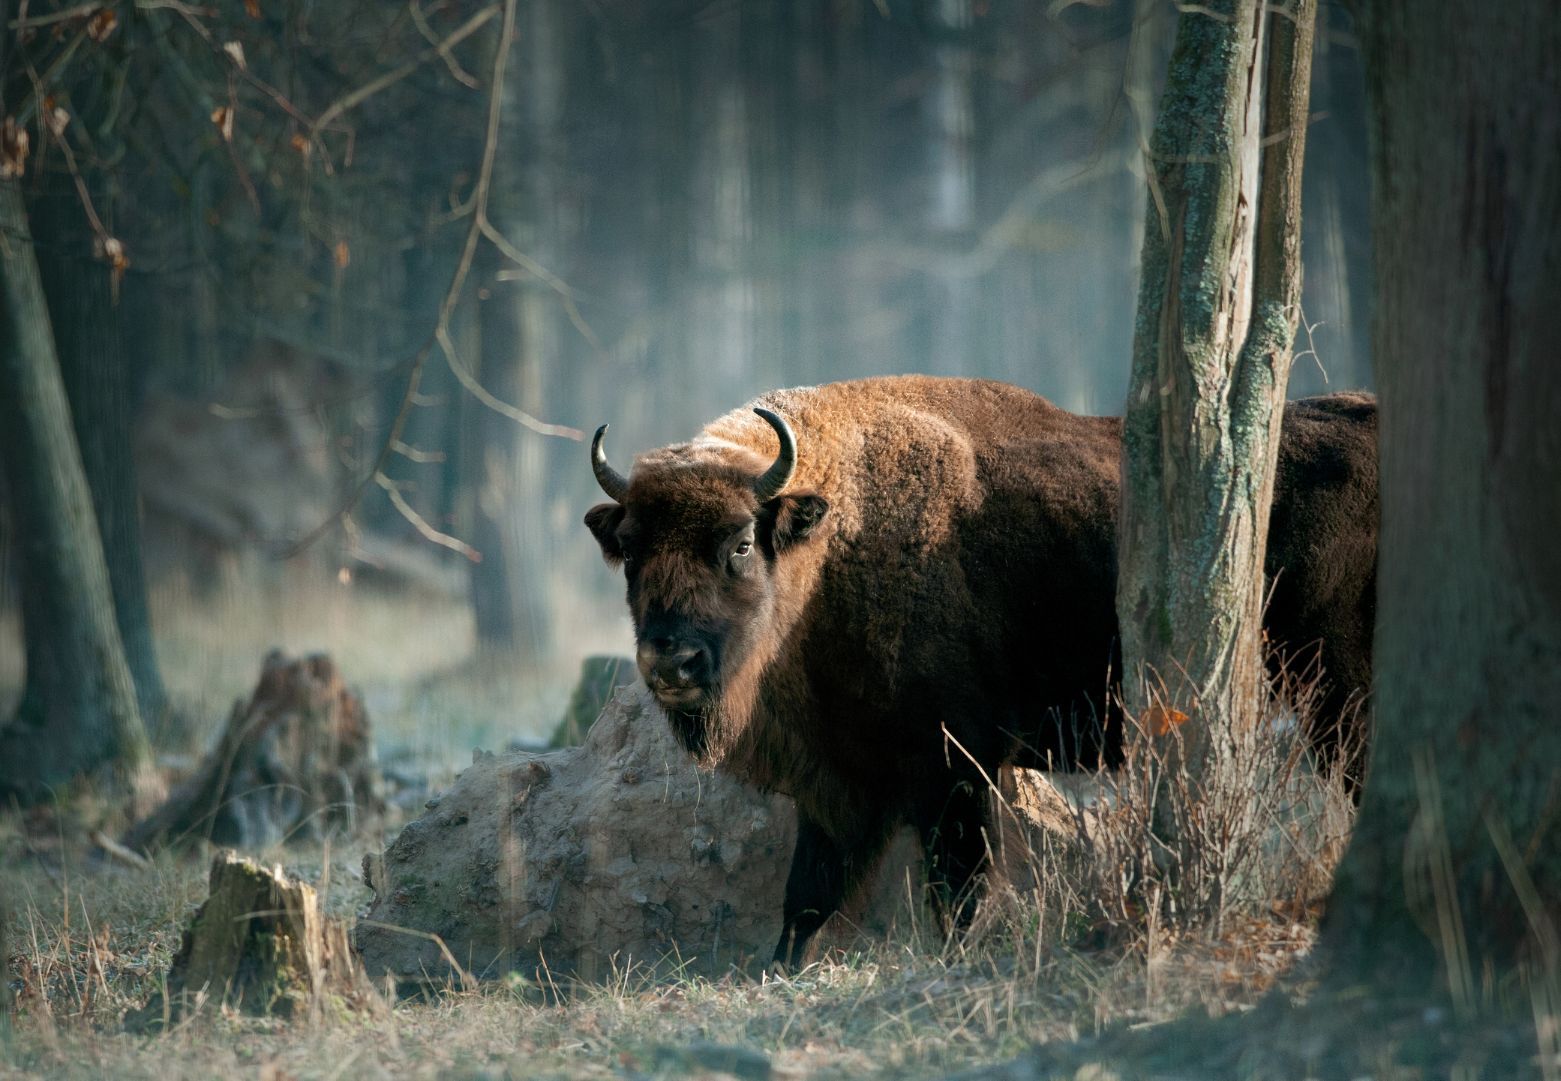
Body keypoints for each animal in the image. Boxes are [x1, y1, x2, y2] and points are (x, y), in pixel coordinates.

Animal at [586, 375, 1379, 967]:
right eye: (630, 550)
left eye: (741, 543)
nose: (671, 660)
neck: (833, 543)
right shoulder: (840, 781)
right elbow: (805, 899)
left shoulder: (953, 769)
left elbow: (955, 888)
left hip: (1333, 692)